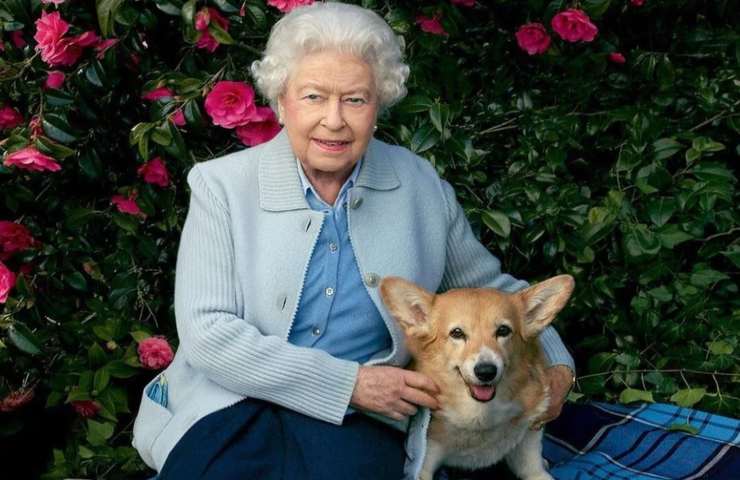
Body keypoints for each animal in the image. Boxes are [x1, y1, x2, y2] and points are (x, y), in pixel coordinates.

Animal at [378, 274, 576, 480]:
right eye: (457, 333)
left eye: (503, 330)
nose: (486, 372)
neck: (480, 413)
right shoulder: (425, 459)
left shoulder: (528, 443)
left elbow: (535, 468)